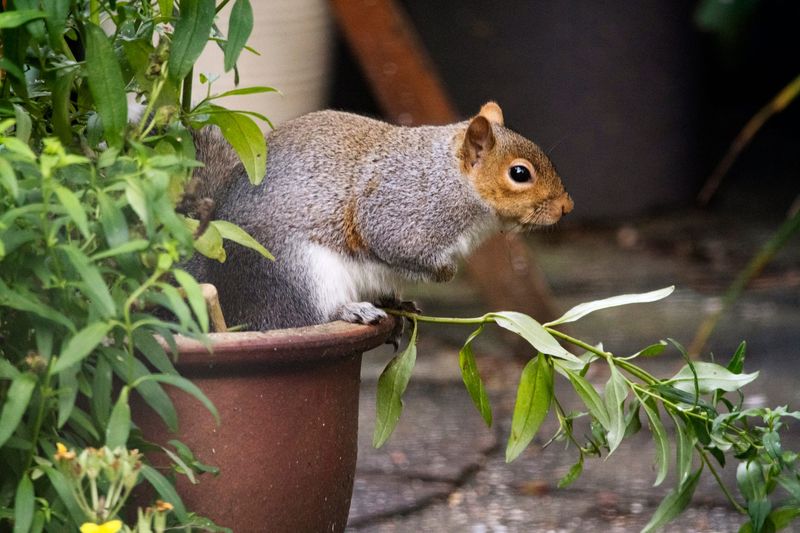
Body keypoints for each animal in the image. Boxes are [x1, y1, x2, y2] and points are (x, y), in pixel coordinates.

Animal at [185, 102, 573, 331]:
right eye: (519, 174)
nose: (566, 206)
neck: (451, 179)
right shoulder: (400, 209)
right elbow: (393, 245)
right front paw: (445, 273)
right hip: (297, 274)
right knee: (307, 317)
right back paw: (351, 311)